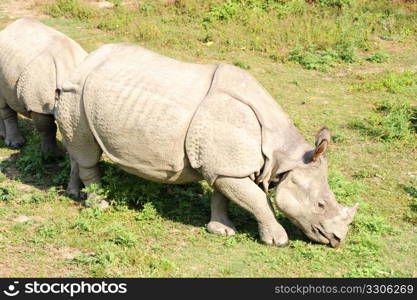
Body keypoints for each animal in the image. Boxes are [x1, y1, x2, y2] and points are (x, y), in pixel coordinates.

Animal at [56, 43, 358, 247]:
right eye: (320, 205)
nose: (337, 239)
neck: (283, 156)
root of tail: (84, 61)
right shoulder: (228, 166)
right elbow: (258, 200)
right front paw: (278, 241)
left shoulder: (224, 166)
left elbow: (222, 196)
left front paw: (221, 230)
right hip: (77, 91)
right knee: (86, 150)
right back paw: (100, 205)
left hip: (81, 94)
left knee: (78, 147)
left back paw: (75, 194)